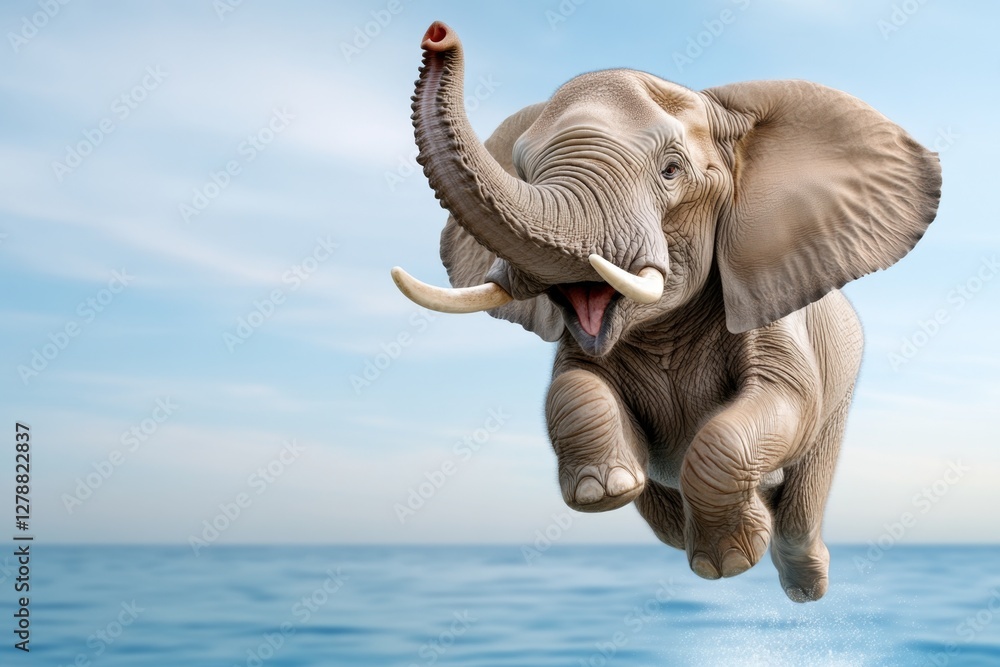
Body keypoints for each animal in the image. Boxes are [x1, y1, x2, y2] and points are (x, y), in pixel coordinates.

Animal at [391, 21, 941, 602]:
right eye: (520, 171)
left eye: (671, 171)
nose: (437, 35)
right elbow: (571, 386)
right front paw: (605, 488)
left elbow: (784, 400)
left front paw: (728, 561)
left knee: (804, 496)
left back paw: (802, 582)